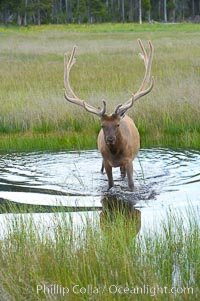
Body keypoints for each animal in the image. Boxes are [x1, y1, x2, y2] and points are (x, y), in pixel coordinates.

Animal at [63, 39, 154, 190]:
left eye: (117, 124)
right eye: (102, 125)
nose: (110, 139)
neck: (115, 154)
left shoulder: (128, 160)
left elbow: (131, 184)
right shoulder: (106, 161)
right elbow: (110, 184)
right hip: (101, 159)